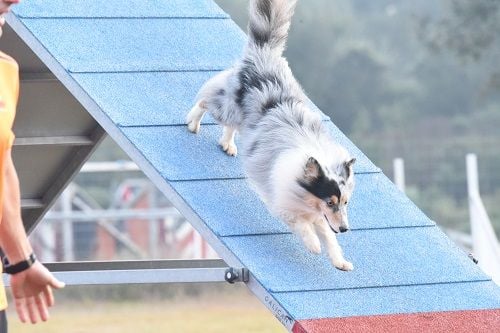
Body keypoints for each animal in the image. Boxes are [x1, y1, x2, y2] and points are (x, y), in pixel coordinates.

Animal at [187, 0, 356, 270]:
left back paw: (228, 145)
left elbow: (329, 237)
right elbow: (304, 226)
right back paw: (192, 123)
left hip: (242, 115)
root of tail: (263, 51)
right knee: (205, 99)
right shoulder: (285, 203)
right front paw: (313, 245)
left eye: (345, 202)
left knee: (230, 125)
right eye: (330, 202)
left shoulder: (316, 212)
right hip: (227, 107)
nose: (345, 229)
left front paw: (340, 262)